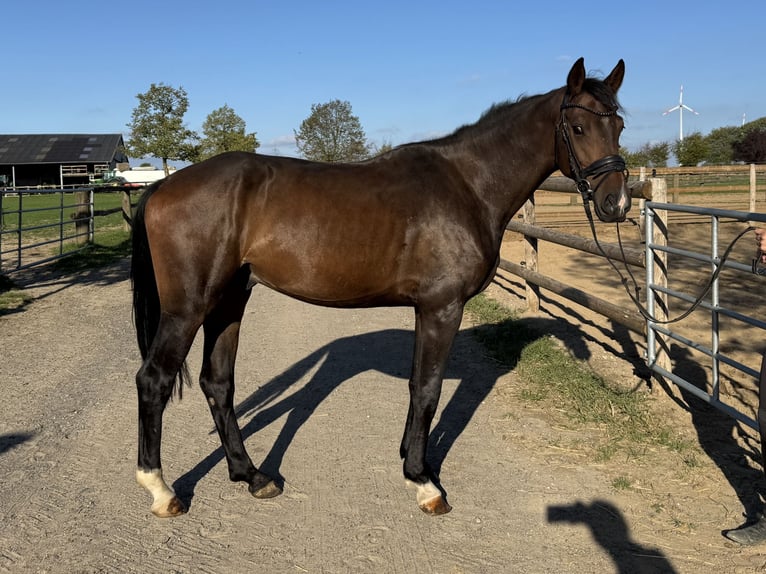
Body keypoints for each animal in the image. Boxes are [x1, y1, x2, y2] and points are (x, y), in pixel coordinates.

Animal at [131, 57, 630, 518]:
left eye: (620, 125)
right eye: (579, 127)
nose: (617, 203)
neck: (467, 185)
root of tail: (163, 187)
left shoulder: (427, 309)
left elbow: (418, 386)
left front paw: (412, 463)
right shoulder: (442, 307)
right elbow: (428, 390)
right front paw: (424, 483)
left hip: (230, 300)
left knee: (217, 383)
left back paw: (251, 475)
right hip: (189, 307)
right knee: (154, 380)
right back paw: (162, 491)